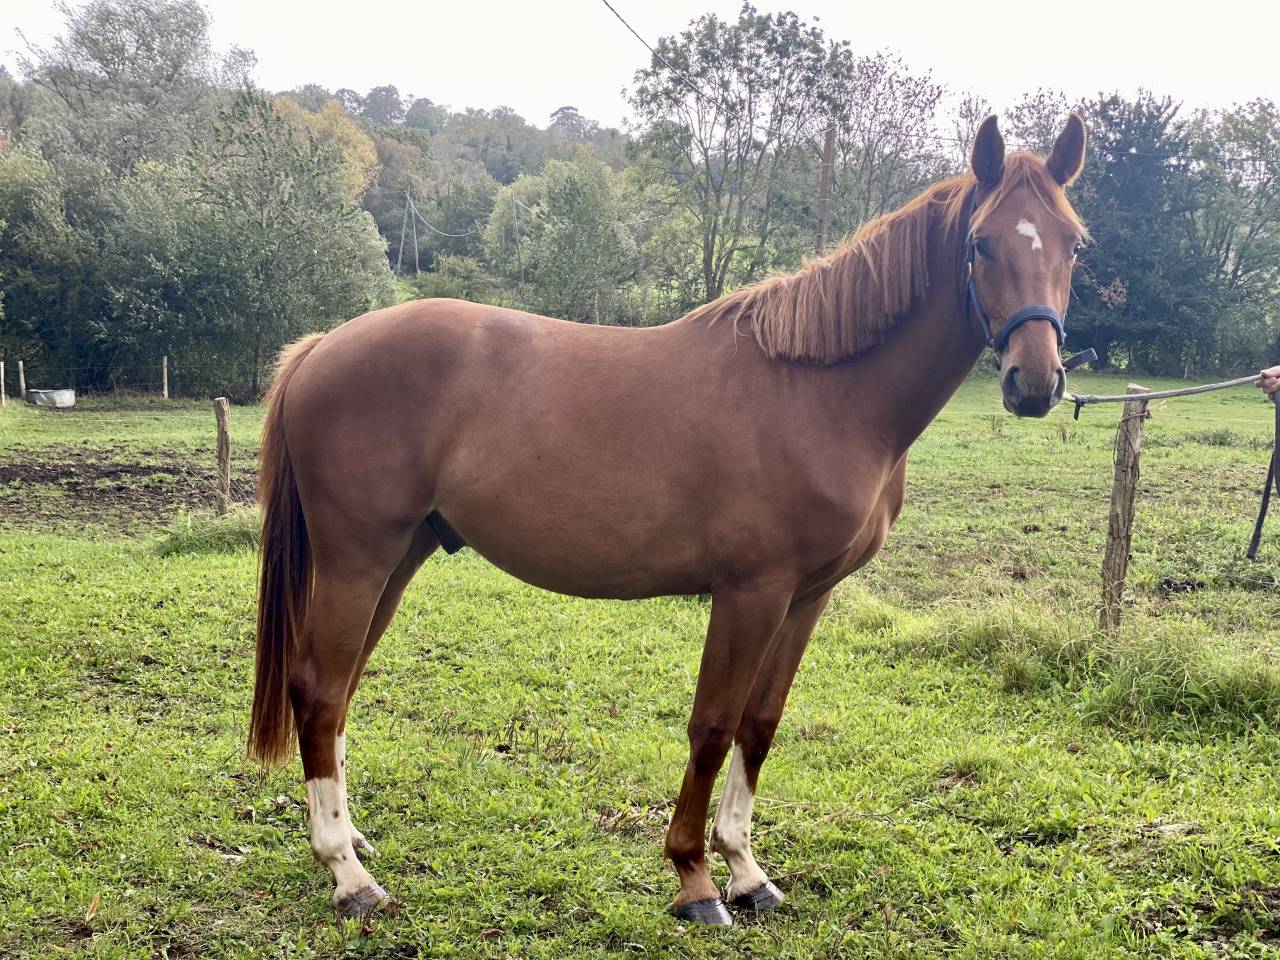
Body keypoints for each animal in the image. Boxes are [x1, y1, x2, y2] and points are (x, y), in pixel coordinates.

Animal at [248, 114, 1088, 924]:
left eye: (1074, 242)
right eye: (981, 243)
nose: (1035, 381)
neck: (821, 394)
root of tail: (323, 346)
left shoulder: (808, 597)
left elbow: (760, 723)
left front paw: (747, 870)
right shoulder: (750, 592)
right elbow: (712, 725)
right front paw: (695, 878)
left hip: (402, 555)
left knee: (343, 687)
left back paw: (351, 839)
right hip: (357, 558)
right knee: (320, 690)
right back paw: (347, 874)